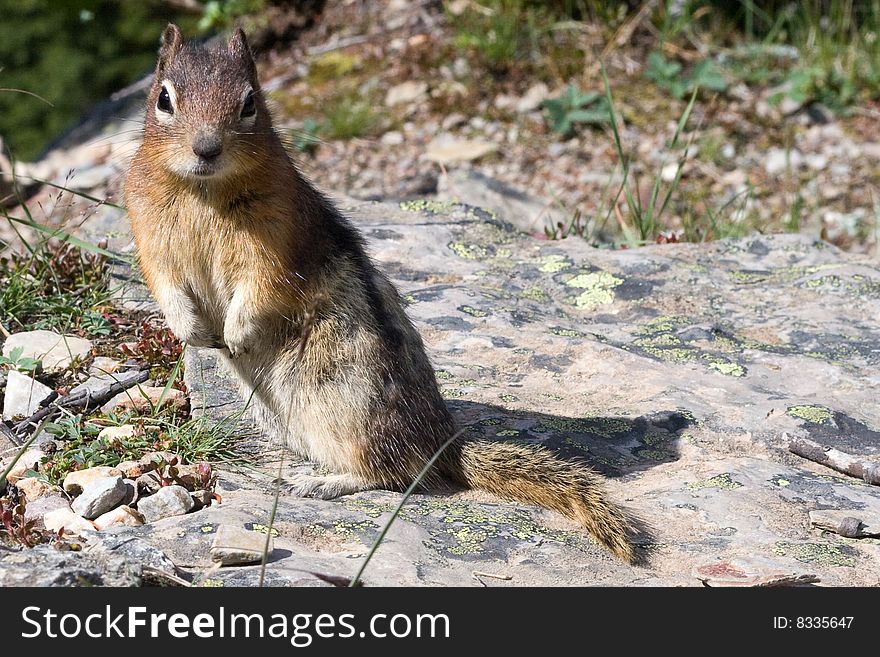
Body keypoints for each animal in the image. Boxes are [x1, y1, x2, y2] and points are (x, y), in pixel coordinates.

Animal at [125, 23, 632, 560]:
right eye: (163, 98)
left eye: (249, 102)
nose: (206, 148)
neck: (204, 190)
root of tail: (443, 443)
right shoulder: (146, 231)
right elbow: (164, 285)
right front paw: (195, 331)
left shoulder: (277, 236)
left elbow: (262, 284)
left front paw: (237, 334)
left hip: (353, 404)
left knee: (392, 473)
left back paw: (323, 482)